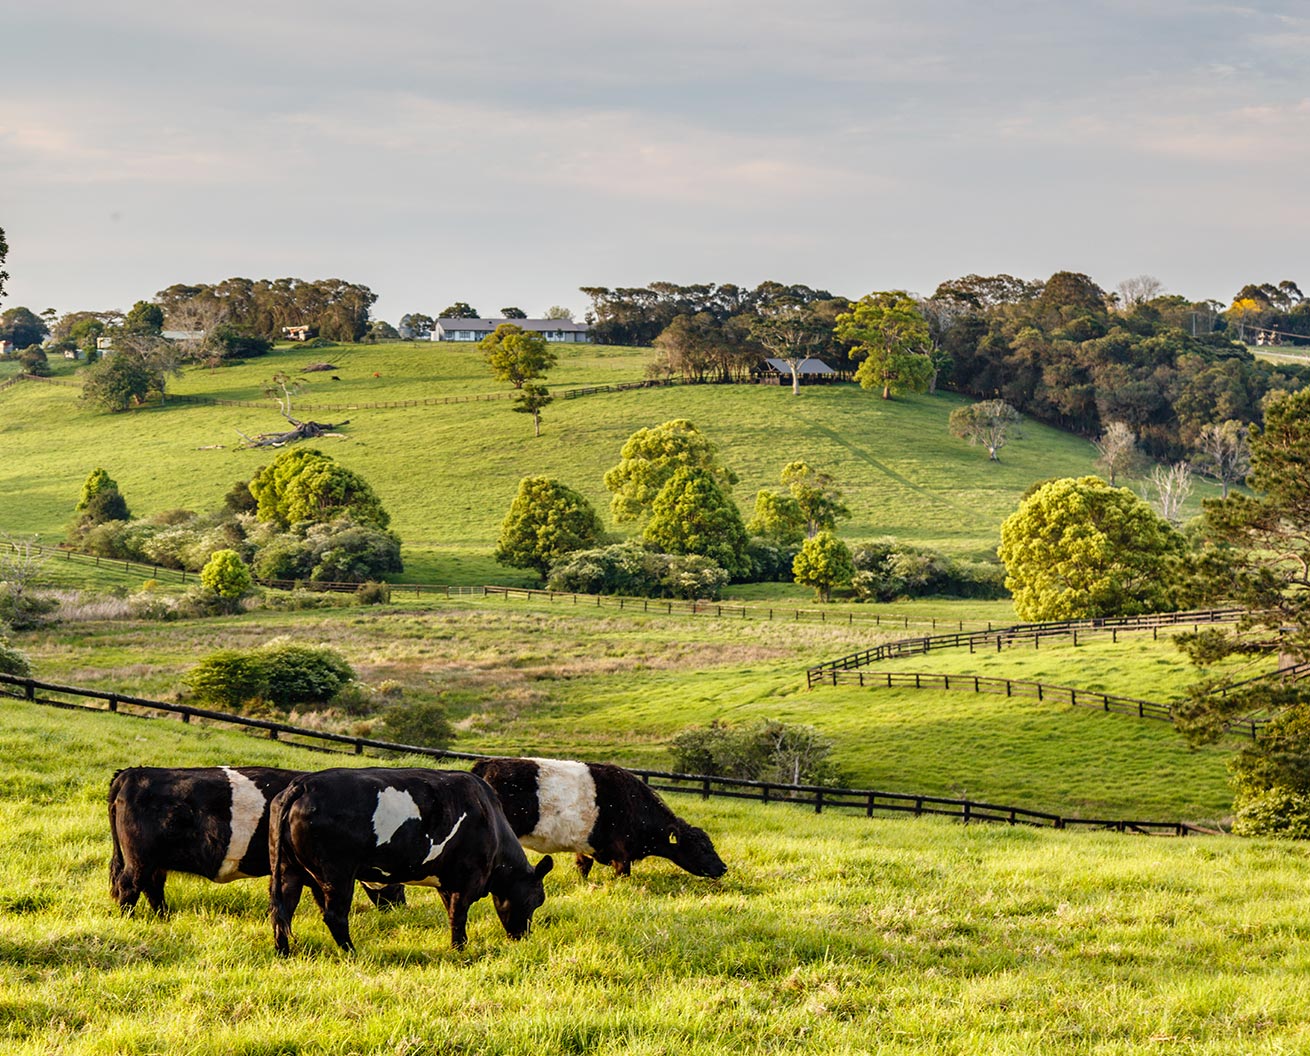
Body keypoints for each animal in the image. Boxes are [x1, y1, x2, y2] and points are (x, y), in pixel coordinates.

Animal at [108, 770, 403, 917]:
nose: (400, 906)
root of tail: (132, 773)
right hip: (140, 859)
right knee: (129, 885)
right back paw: (129, 918)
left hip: (154, 861)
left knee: (153, 887)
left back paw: (164, 916)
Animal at [268, 770, 550, 959]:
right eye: (536, 900)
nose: (523, 937)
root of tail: (303, 784)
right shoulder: (468, 878)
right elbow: (459, 915)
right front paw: (460, 949)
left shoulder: (447, 882)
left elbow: (451, 913)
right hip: (336, 873)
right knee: (334, 916)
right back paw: (352, 952)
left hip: (288, 870)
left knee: (282, 911)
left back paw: (284, 952)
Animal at [468, 759, 728, 885]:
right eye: (701, 847)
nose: (723, 867)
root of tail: (486, 763)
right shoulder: (622, 855)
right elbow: (623, 874)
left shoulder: (585, 846)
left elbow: (583, 867)